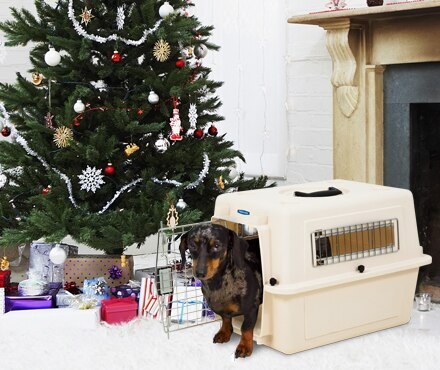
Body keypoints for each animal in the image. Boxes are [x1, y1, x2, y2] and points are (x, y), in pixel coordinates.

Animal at [179, 223, 262, 358]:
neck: (219, 283)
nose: (200, 273)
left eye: (217, 246)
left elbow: (245, 328)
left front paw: (244, 346)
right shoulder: (222, 310)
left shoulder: (252, 308)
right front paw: (225, 332)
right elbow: (226, 319)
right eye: (192, 245)